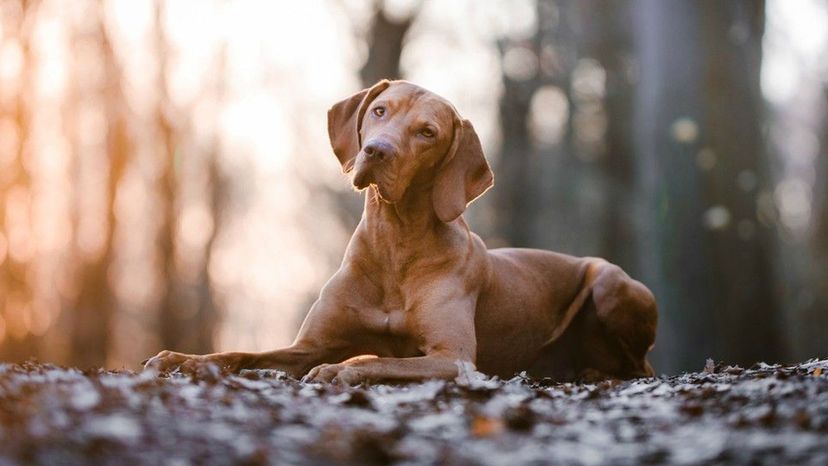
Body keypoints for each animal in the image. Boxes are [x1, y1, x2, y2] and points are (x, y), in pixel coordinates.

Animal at [144, 80, 660, 384]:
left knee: (640, 366)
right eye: (379, 111)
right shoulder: (306, 345)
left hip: (612, 283)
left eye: (427, 132)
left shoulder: (453, 357)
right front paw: (182, 359)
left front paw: (339, 370)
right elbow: (243, 353)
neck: (394, 242)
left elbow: (379, 360)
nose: (376, 151)